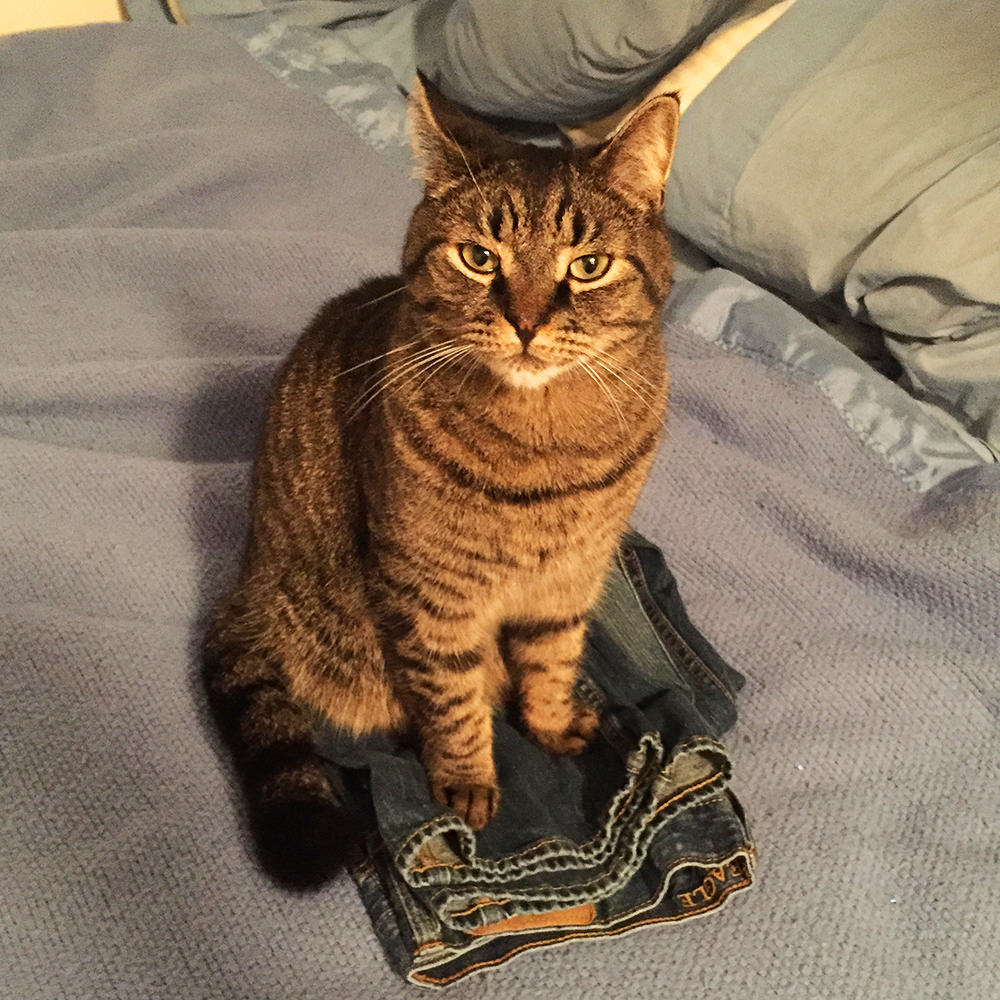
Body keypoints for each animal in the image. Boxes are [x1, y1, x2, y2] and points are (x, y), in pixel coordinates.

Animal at [203, 80, 680, 892]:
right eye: (478, 256)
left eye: (587, 265)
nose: (526, 321)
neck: (544, 443)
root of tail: (246, 584)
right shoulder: (431, 592)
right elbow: (453, 697)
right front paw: (467, 780)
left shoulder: (572, 577)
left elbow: (552, 660)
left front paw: (550, 723)